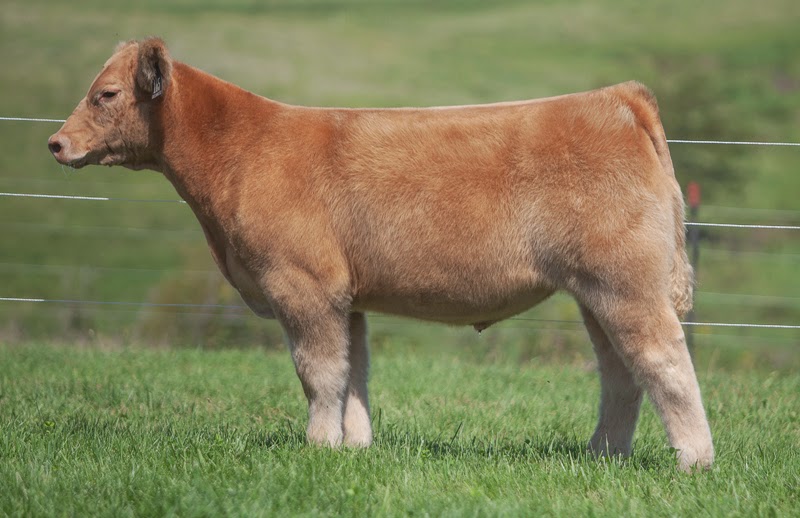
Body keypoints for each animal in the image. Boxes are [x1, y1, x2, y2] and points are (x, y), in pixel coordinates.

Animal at [48, 37, 713, 471]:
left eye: (106, 93)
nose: (55, 142)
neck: (240, 150)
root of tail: (617, 98)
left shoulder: (301, 283)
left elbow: (318, 371)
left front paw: (318, 445)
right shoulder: (348, 296)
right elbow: (354, 371)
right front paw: (356, 446)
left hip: (625, 283)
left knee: (664, 362)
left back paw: (694, 460)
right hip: (596, 293)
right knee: (620, 372)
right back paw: (605, 455)